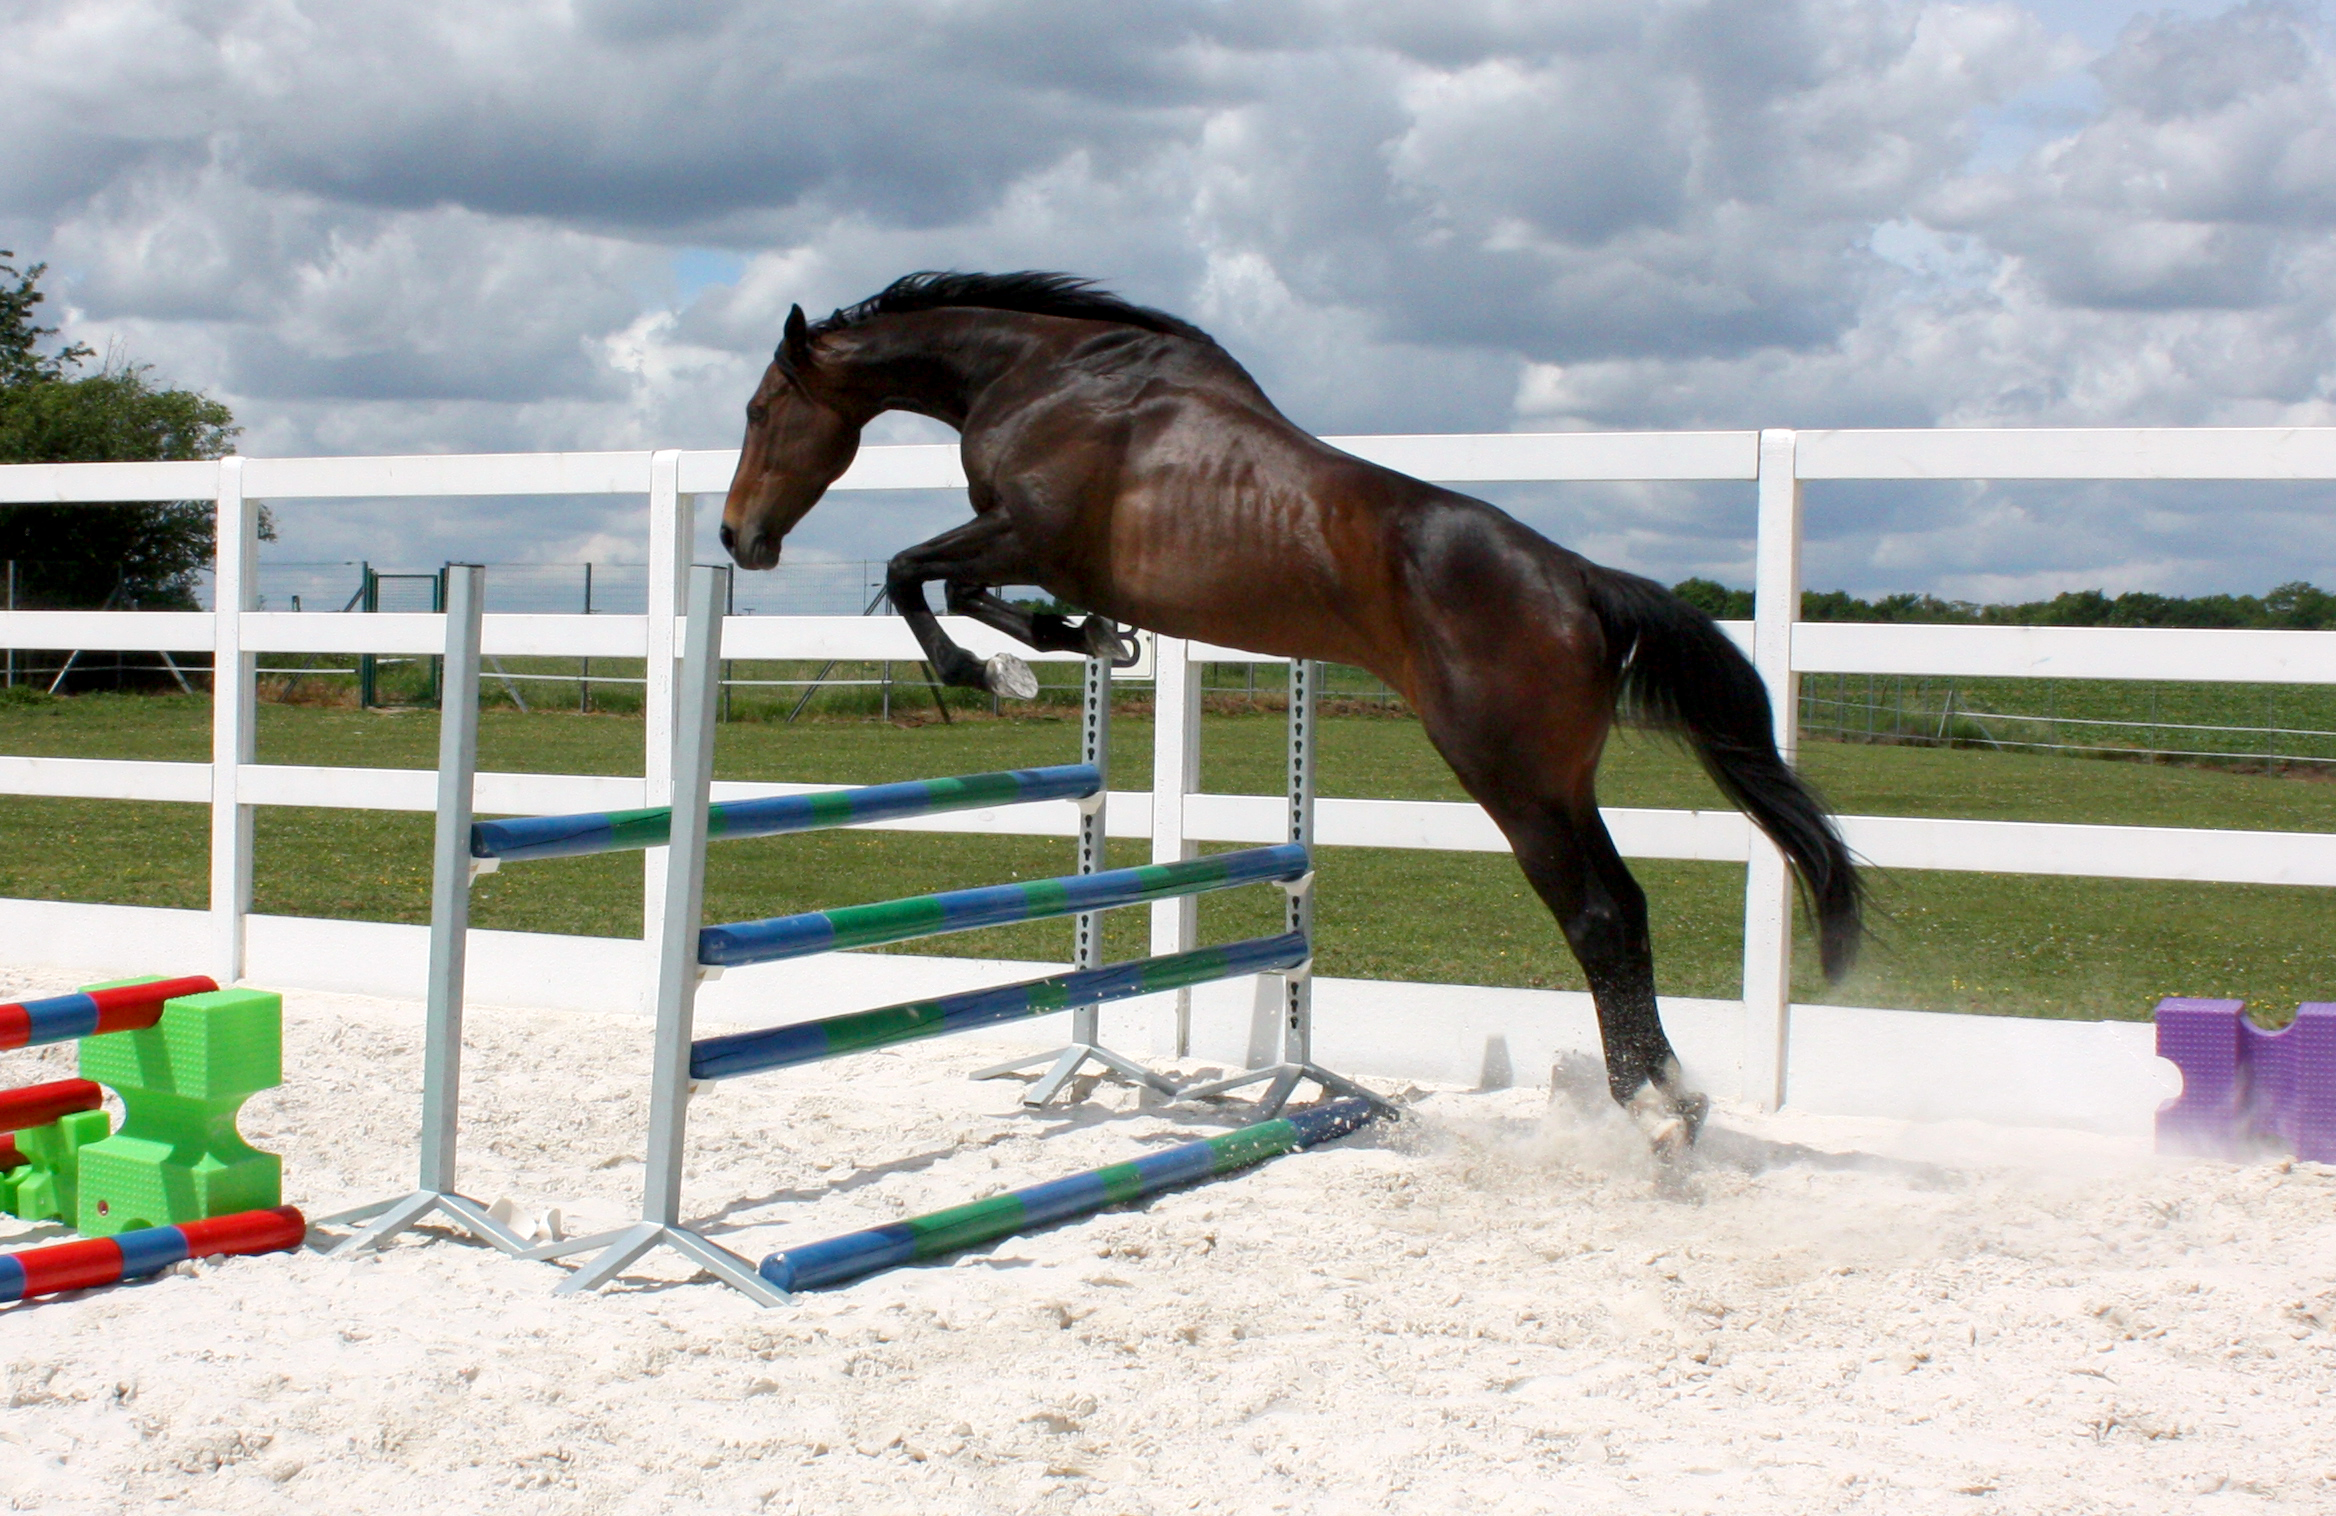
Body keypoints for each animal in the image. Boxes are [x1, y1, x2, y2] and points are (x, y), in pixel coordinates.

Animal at [719, 272, 1850, 1149]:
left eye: (759, 411)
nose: (739, 539)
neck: (1041, 378)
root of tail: (1578, 581)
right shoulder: (1026, 548)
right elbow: (958, 587)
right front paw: (1081, 645)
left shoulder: (1026, 534)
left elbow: (918, 575)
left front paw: (1005, 668)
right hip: (1563, 784)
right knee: (1630, 909)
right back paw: (1675, 1102)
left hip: (1510, 778)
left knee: (1598, 918)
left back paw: (1644, 1119)